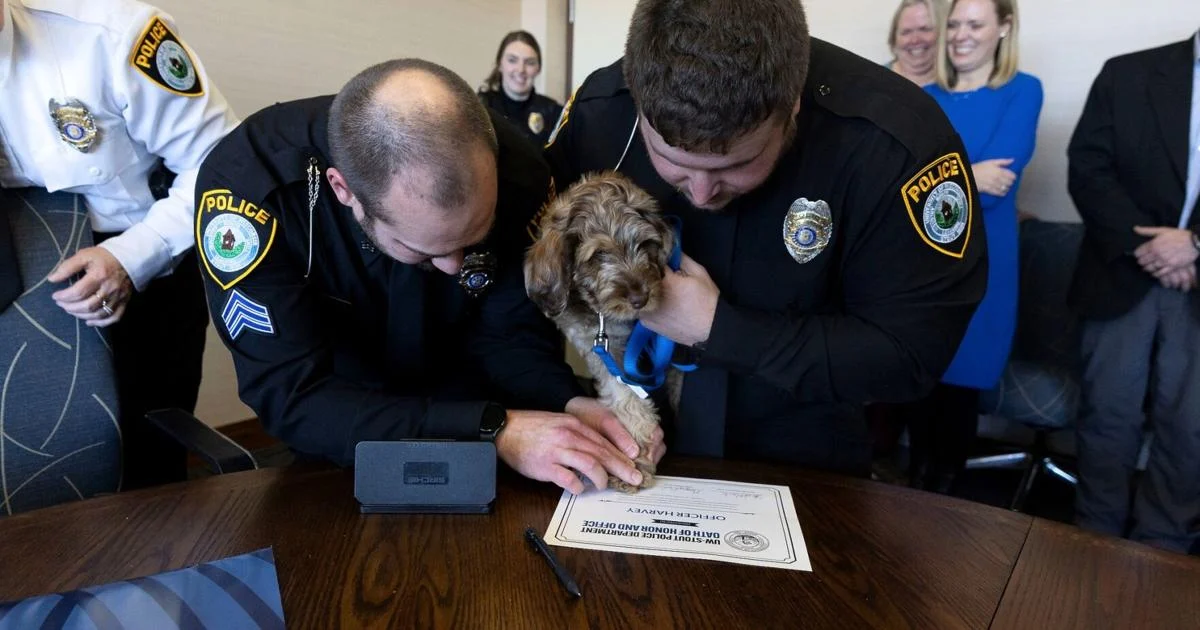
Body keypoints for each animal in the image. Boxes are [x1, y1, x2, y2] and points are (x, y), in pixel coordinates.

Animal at [520, 171, 681, 492]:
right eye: (599, 254)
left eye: (644, 244)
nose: (640, 298)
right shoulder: (599, 346)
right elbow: (625, 395)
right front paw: (636, 457)